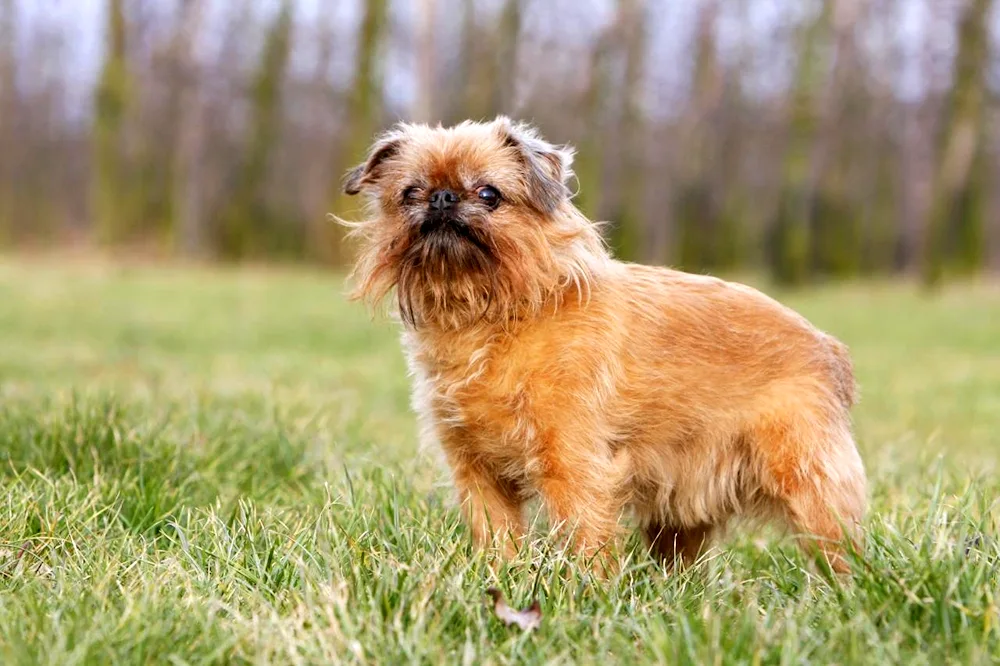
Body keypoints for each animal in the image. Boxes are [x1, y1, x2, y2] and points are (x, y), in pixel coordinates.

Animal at [338, 118, 868, 572]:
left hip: (809, 482)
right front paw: (501, 575)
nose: (442, 197)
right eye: (410, 193)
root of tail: (827, 346)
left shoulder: (573, 464)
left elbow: (584, 535)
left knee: (842, 551)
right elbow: (497, 534)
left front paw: (585, 590)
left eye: (489, 194)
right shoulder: (476, 472)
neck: (490, 317)